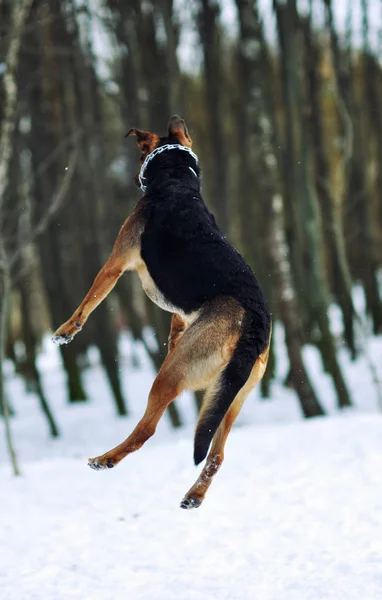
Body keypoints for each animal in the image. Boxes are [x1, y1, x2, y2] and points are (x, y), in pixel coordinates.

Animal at [53, 115, 272, 508]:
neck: (177, 180)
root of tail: (255, 324)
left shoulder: (116, 262)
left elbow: (89, 301)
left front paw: (67, 330)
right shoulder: (182, 311)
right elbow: (176, 321)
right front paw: (171, 338)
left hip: (170, 378)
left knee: (147, 430)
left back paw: (106, 459)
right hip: (230, 396)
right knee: (216, 453)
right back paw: (194, 495)